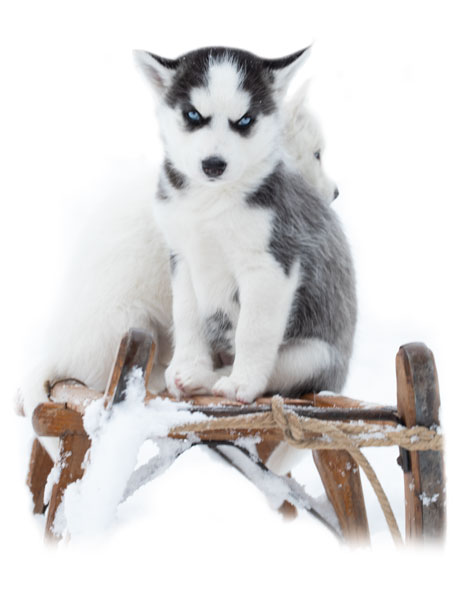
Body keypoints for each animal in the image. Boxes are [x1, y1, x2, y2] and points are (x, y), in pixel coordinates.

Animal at [135, 47, 356, 404]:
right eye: (193, 115)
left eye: (245, 120)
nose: (213, 165)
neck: (209, 204)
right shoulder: (182, 257)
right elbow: (186, 317)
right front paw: (189, 364)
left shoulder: (270, 264)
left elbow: (253, 332)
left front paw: (242, 382)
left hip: (312, 356)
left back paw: (216, 379)